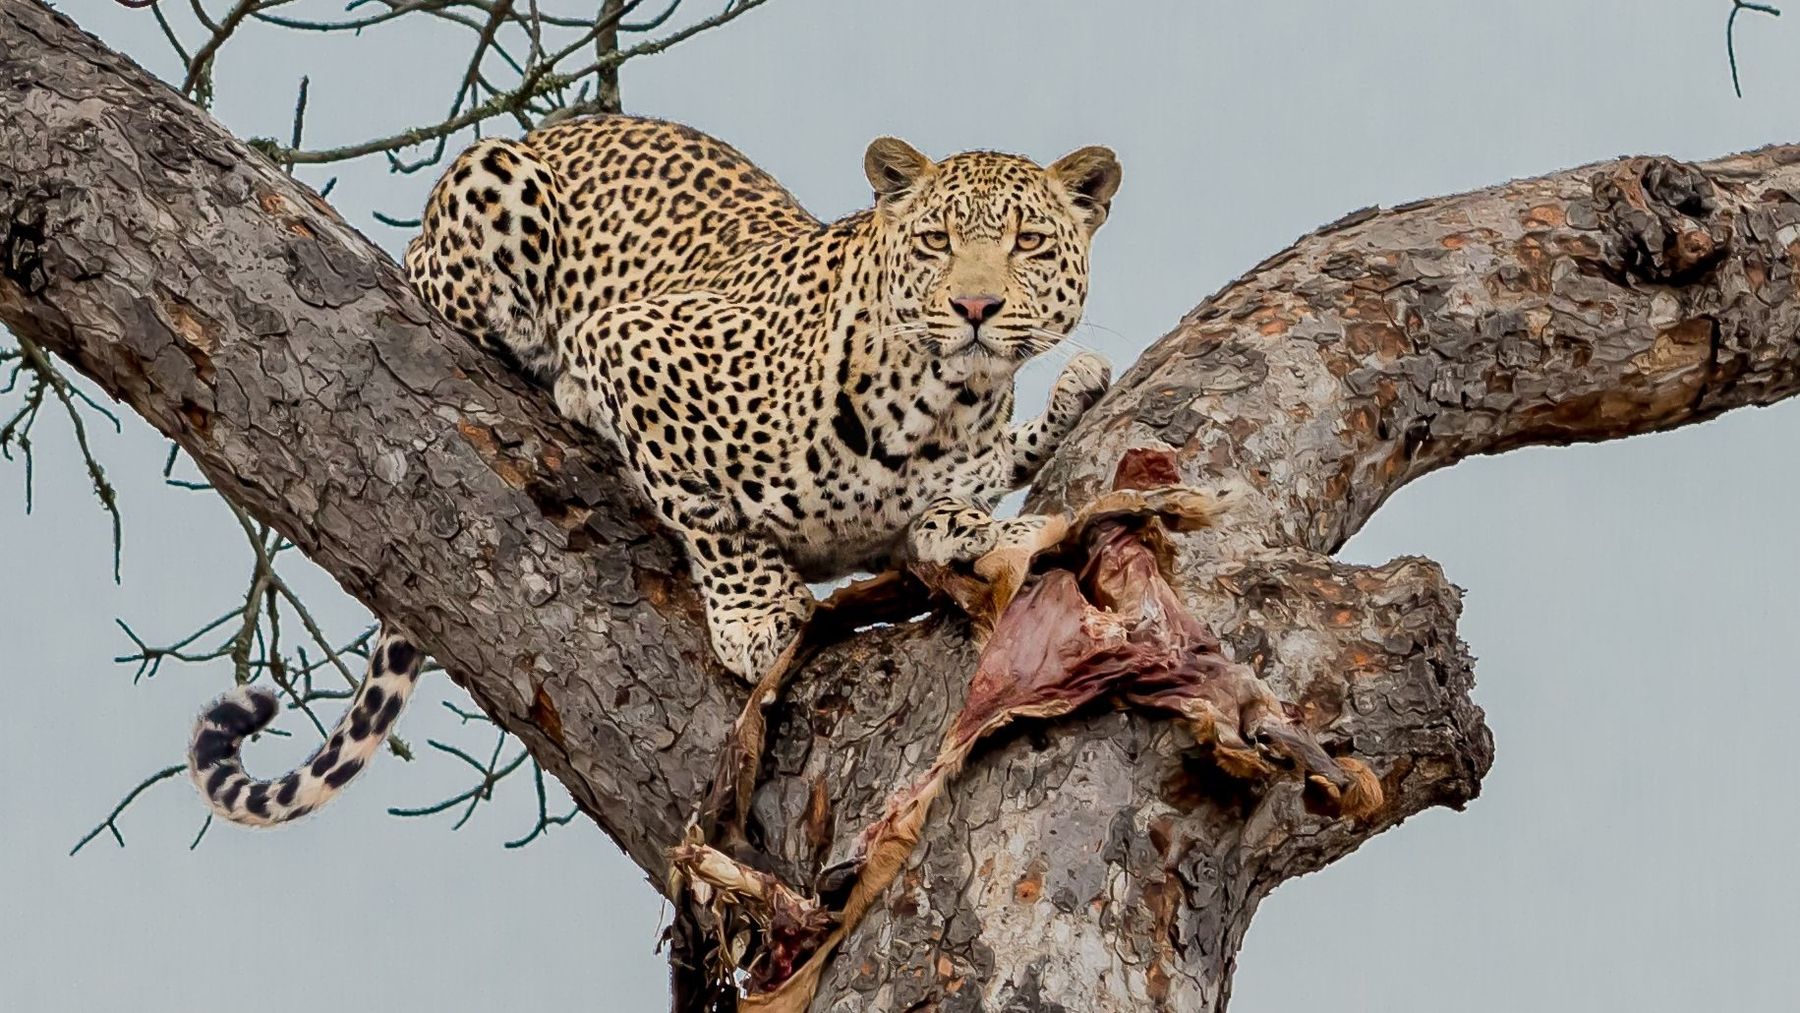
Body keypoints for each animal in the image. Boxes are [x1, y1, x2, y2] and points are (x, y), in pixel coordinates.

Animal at [186, 115, 1121, 827]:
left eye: (1028, 242)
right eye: (935, 240)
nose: (975, 307)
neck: (941, 403)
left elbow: (953, 513)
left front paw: (988, 520)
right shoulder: (636, 342)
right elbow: (714, 520)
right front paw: (757, 613)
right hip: (491, 179)